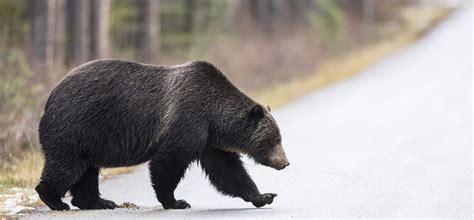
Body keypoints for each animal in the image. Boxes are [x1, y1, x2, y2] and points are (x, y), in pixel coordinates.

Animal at [36, 59, 288, 211]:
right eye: (273, 139)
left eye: (279, 137)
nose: (285, 162)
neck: (213, 117)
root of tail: (50, 96)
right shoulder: (187, 120)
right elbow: (168, 161)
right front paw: (176, 201)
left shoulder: (208, 141)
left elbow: (228, 172)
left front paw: (264, 196)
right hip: (76, 126)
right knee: (67, 166)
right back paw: (55, 200)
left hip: (88, 139)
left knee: (86, 171)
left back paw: (99, 201)